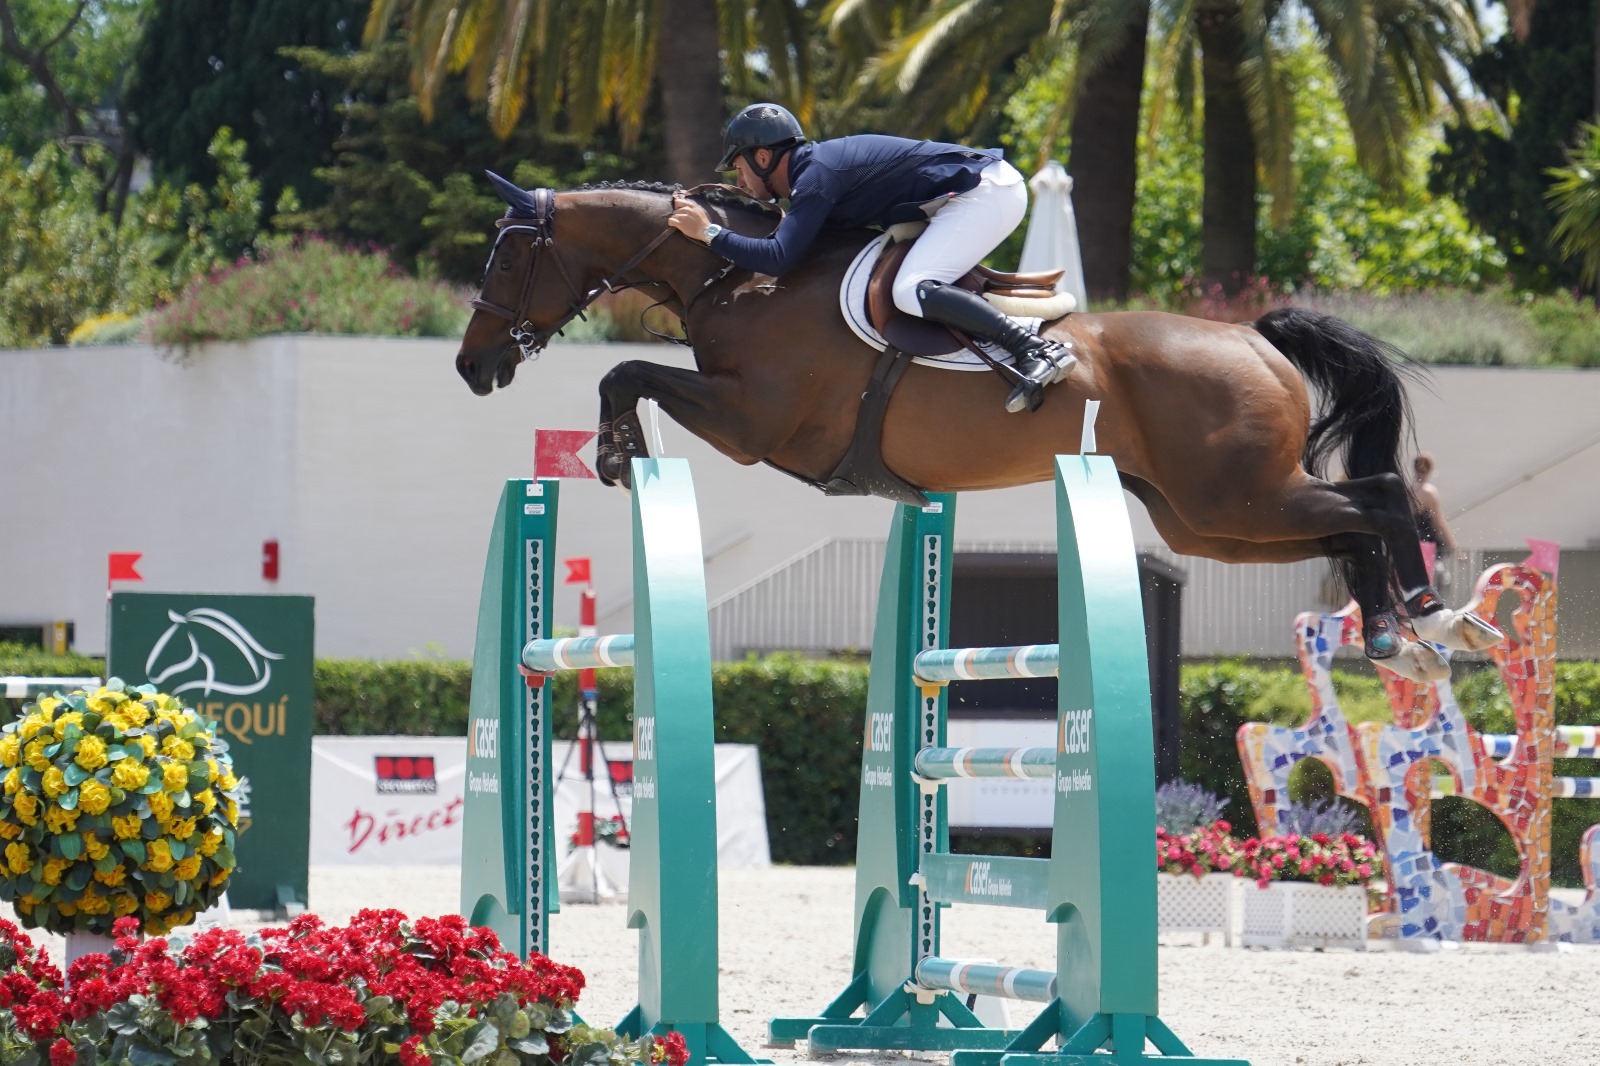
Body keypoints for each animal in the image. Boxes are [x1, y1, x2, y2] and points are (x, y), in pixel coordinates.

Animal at [451, 172, 1497, 672]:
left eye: (505, 260)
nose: (472, 366)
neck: (739, 276)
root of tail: (1253, 338)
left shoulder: (754, 424)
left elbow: (629, 372)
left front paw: (616, 453)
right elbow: (629, 373)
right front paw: (616, 451)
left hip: (1238, 496)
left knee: (1381, 495)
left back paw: (1428, 612)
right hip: (1211, 519)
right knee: (1347, 519)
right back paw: (1393, 632)